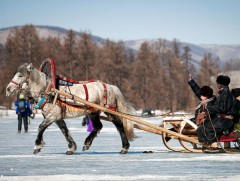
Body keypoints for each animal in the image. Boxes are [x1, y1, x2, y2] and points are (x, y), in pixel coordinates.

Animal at [5, 63, 136, 155]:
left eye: (20, 75)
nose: (8, 89)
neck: (48, 90)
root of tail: (110, 86)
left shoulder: (52, 115)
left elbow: (41, 127)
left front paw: (37, 145)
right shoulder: (57, 117)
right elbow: (64, 130)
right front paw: (71, 147)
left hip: (109, 111)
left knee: (119, 125)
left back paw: (124, 147)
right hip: (93, 112)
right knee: (98, 126)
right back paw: (87, 144)